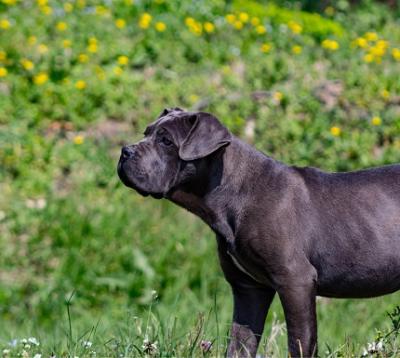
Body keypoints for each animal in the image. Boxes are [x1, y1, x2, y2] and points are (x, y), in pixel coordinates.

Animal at [116, 107, 400, 356]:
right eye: (146, 132)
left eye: (166, 141)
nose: (125, 151)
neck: (234, 192)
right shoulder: (248, 289)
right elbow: (239, 346)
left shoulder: (295, 280)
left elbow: (300, 343)